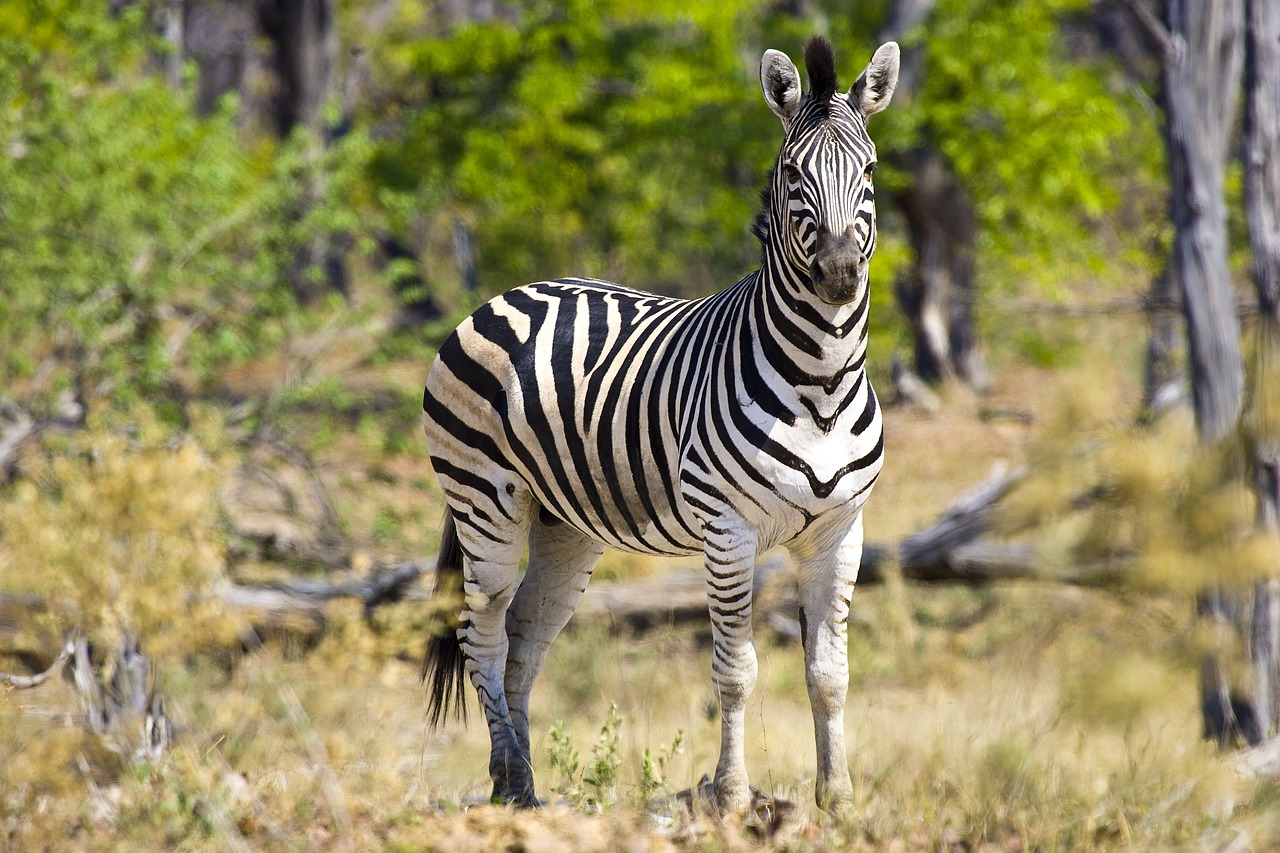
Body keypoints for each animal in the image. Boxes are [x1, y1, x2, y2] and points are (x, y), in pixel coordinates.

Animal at [422, 34, 901, 809]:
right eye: (791, 173)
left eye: (870, 169)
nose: (837, 274)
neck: (822, 383)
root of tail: (508, 292)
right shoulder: (728, 529)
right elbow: (735, 672)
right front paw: (731, 795)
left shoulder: (840, 531)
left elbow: (829, 675)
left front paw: (837, 799)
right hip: (483, 498)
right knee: (482, 630)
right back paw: (512, 784)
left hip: (566, 523)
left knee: (524, 634)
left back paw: (520, 782)